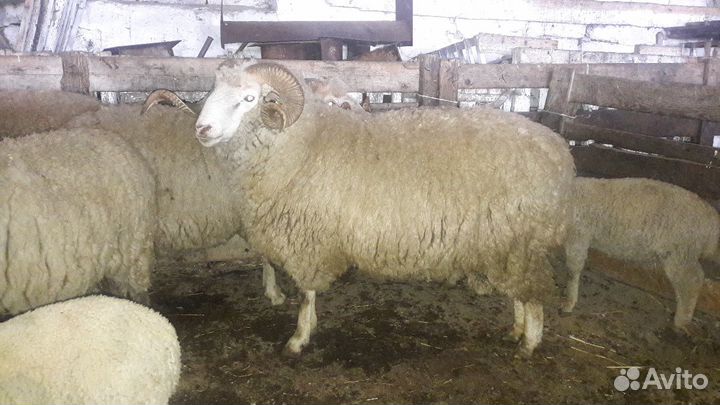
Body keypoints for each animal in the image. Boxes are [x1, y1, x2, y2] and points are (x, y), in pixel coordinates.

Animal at [193, 60, 576, 357]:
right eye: (213, 91)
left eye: (249, 98)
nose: (202, 128)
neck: (302, 144)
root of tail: (560, 152)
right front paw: (306, 328)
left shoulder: (308, 239)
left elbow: (305, 295)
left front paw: (299, 339)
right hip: (508, 243)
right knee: (521, 293)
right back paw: (516, 331)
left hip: (522, 240)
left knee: (533, 296)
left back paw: (529, 344)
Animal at [562, 177, 720, 330]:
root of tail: (713, 220)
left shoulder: (578, 236)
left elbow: (572, 271)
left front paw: (569, 303)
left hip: (680, 253)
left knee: (693, 280)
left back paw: (681, 320)